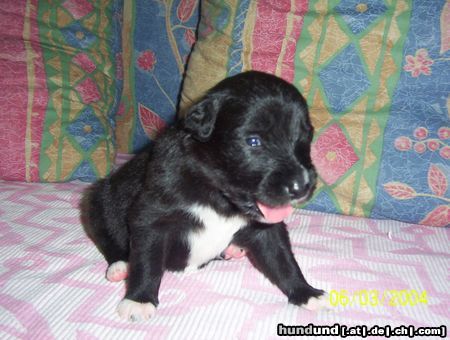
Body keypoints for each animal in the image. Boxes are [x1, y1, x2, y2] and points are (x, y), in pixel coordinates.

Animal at [81, 70, 326, 320]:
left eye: (305, 136)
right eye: (253, 141)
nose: (301, 186)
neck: (218, 196)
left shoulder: (266, 227)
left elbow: (282, 259)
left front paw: (306, 292)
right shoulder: (150, 217)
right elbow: (147, 260)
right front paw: (139, 300)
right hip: (98, 201)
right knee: (109, 239)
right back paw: (120, 266)